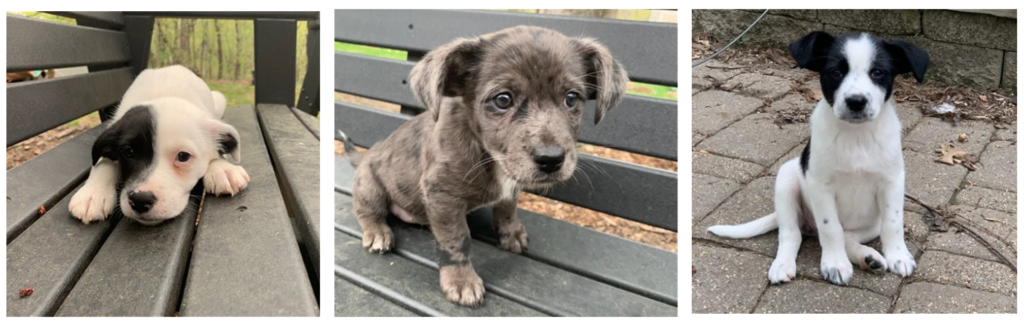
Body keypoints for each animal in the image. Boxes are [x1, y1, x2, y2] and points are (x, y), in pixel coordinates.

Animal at [70, 64, 249, 225]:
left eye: (183, 156)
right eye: (128, 152)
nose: (140, 200)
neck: (166, 95)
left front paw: (223, 169)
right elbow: (103, 162)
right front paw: (93, 193)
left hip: (220, 100)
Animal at [708, 31, 933, 284]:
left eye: (877, 72)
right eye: (835, 72)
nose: (856, 101)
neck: (856, 136)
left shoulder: (892, 181)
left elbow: (893, 223)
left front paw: (899, 256)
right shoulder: (820, 186)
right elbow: (830, 228)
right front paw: (835, 263)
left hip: (870, 224)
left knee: (849, 236)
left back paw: (868, 257)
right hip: (787, 179)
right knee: (792, 234)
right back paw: (783, 264)